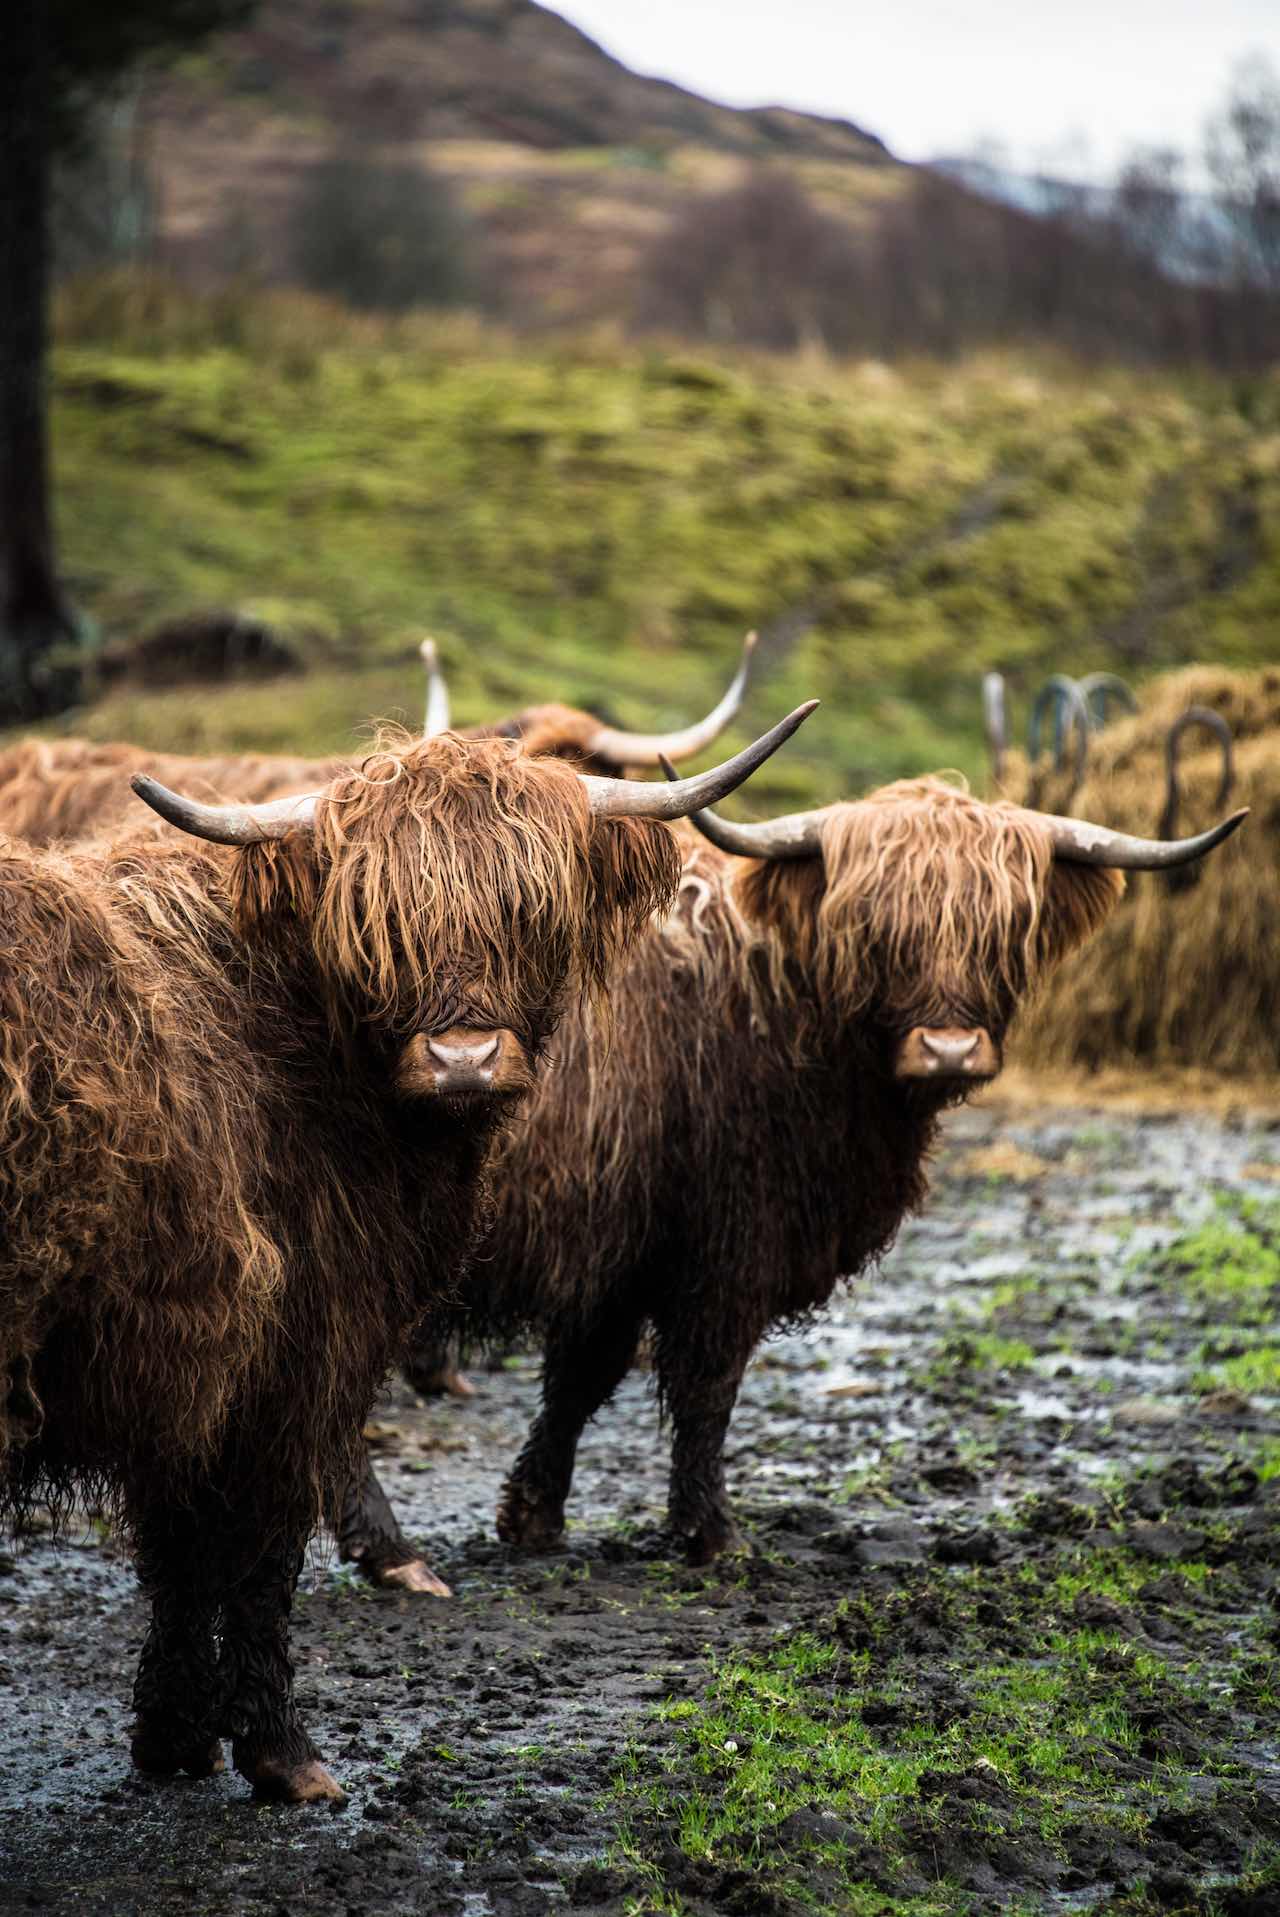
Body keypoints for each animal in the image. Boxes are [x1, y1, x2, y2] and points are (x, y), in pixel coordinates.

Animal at [0, 705, 808, 1794]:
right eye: (379, 921)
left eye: (530, 908)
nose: (462, 1060)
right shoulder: (291, 1357)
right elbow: (258, 1556)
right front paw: (282, 1753)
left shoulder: (188, 1378)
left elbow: (179, 1558)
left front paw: (173, 1740)